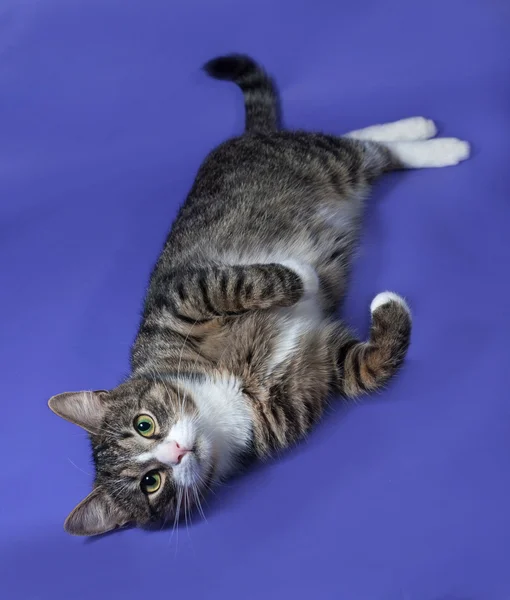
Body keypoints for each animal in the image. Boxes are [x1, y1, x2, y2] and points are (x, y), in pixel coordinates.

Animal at [47, 54, 470, 536]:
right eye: (151, 482)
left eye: (144, 424)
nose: (177, 452)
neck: (221, 404)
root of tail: (250, 135)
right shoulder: (317, 374)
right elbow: (366, 368)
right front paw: (384, 305)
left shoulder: (181, 299)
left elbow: (238, 283)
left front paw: (304, 275)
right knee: (366, 151)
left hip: (318, 159)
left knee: (358, 145)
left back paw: (431, 138)